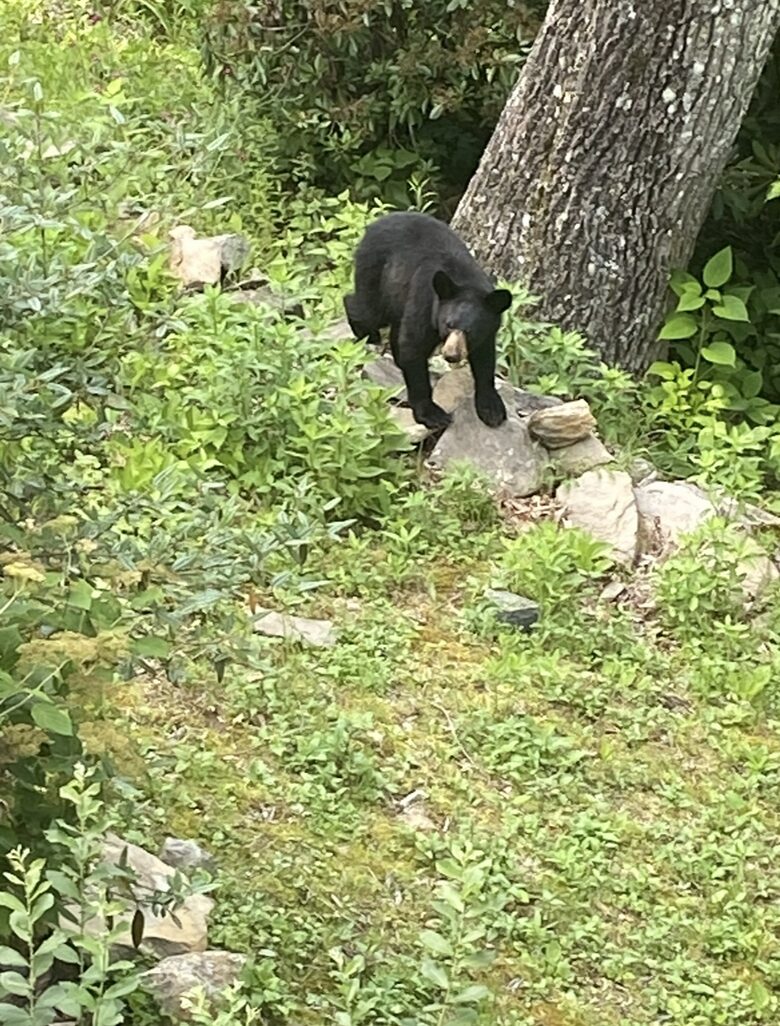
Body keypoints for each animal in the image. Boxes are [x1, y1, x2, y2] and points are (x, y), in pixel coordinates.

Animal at [344, 211, 512, 431]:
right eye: (448, 324)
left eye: (470, 331)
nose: (451, 355)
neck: (465, 280)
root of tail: (374, 224)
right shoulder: (424, 302)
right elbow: (413, 348)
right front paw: (432, 414)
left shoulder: (488, 329)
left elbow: (485, 360)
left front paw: (491, 408)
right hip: (377, 273)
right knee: (366, 308)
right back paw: (367, 336)